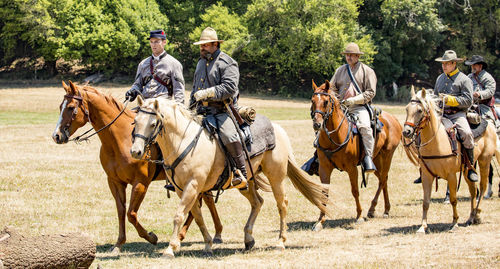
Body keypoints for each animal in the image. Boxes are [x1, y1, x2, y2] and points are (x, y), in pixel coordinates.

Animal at [51, 80, 223, 251]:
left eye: (71, 107)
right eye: (60, 106)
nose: (56, 136)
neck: (119, 139)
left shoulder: (140, 183)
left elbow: (131, 214)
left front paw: (151, 237)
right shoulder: (114, 182)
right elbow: (121, 211)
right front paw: (119, 244)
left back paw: (184, 236)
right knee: (204, 202)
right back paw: (215, 233)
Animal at [130, 97, 332, 258]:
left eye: (153, 123)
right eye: (135, 121)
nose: (135, 151)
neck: (184, 141)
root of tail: (278, 129)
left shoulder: (192, 186)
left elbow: (179, 216)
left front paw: (170, 249)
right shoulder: (183, 190)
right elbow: (198, 216)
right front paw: (208, 243)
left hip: (276, 177)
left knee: (282, 204)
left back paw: (280, 242)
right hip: (246, 182)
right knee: (257, 202)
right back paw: (248, 238)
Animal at [308, 79, 402, 228]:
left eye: (326, 102)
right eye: (312, 100)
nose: (317, 124)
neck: (334, 137)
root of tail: (393, 118)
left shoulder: (352, 169)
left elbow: (355, 191)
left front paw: (359, 216)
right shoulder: (324, 168)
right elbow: (324, 193)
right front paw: (320, 221)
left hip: (388, 155)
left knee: (382, 180)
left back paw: (373, 209)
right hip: (375, 160)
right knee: (384, 179)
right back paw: (384, 209)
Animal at [402, 87, 500, 231]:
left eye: (420, 110)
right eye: (407, 109)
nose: (406, 132)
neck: (437, 141)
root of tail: (490, 125)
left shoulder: (451, 176)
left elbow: (454, 200)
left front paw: (454, 223)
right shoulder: (426, 176)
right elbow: (426, 202)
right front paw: (423, 226)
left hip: (484, 161)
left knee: (482, 187)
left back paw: (477, 214)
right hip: (468, 168)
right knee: (473, 190)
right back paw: (471, 217)